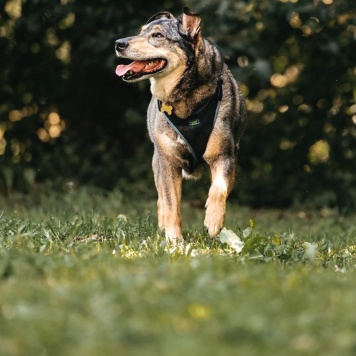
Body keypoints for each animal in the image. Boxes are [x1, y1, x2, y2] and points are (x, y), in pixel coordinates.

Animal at [115, 6, 246, 243]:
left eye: (157, 35)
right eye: (140, 32)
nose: (119, 43)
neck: (185, 101)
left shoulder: (224, 155)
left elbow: (219, 188)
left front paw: (213, 221)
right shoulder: (167, 161)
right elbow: (171, 204)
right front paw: (174, 241)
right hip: (157, 162)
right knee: (162, 197)